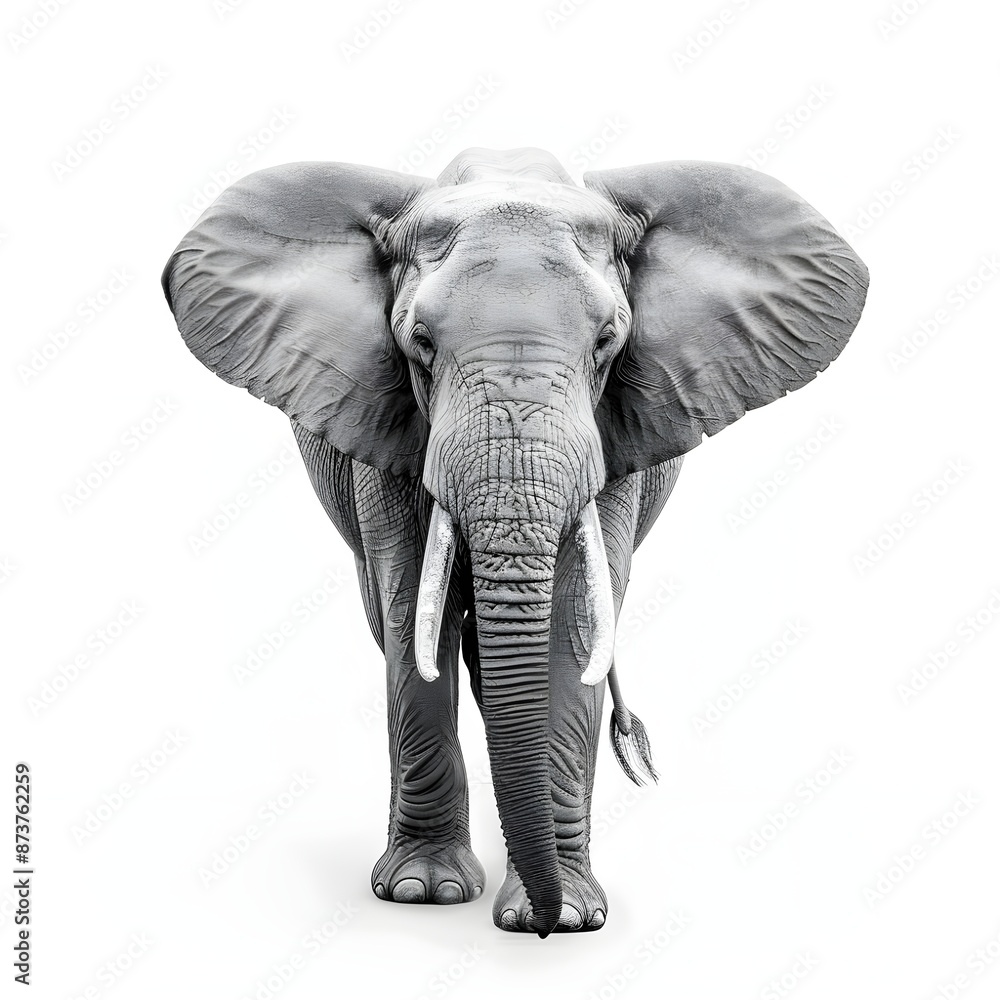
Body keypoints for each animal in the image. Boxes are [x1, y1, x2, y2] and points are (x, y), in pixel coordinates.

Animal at [161, 146, 868, 937]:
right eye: (419, 345)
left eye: (607, 342)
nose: (544, 924)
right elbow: (415, 614)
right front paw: (424, 892)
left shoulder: (612, 437)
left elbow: (571, 623)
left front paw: (563, 915)